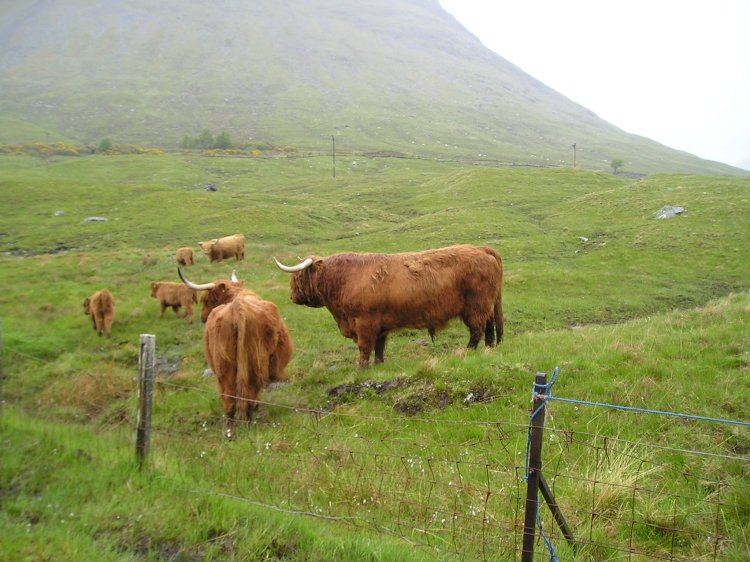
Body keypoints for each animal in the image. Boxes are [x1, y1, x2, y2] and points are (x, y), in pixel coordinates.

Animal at [179, 268, 293, 439]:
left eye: (206, 300)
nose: (202, 318)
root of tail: (237, 306)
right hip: (252, 363)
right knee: (246, 394)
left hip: (226, 366)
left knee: (231, 398)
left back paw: (232, 429)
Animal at [275, 244, 503, 367]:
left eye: (297, 277)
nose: (292, 297)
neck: (343, 279)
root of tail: (481, 249)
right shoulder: (379, 323)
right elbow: (379, 346)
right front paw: (378, 364)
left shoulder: (364, 322)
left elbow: (364, 346)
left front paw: (361, 367)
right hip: (485, 304)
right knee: (489, 324)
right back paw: (489, 347)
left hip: (475, 306)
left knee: (476, 329)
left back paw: (467, 351)